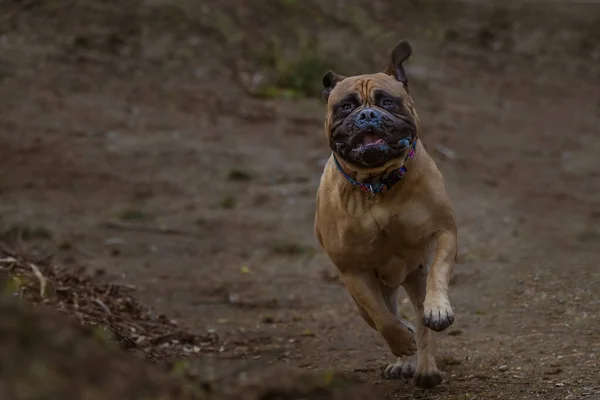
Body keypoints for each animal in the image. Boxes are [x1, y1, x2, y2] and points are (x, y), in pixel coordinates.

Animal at [316, 39, 458, 388]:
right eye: (346, 107)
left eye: (388, 102)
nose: (368, 114)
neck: (378, 184)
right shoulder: (354, 272)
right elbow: (382, 317)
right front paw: (400, 340)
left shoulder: (443, 232)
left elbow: (438, 273)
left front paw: (438, 310)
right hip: (369, 292)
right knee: (384, 314)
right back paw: (404, 358)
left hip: (413, 277)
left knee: (420, 319)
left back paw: (426, 369)